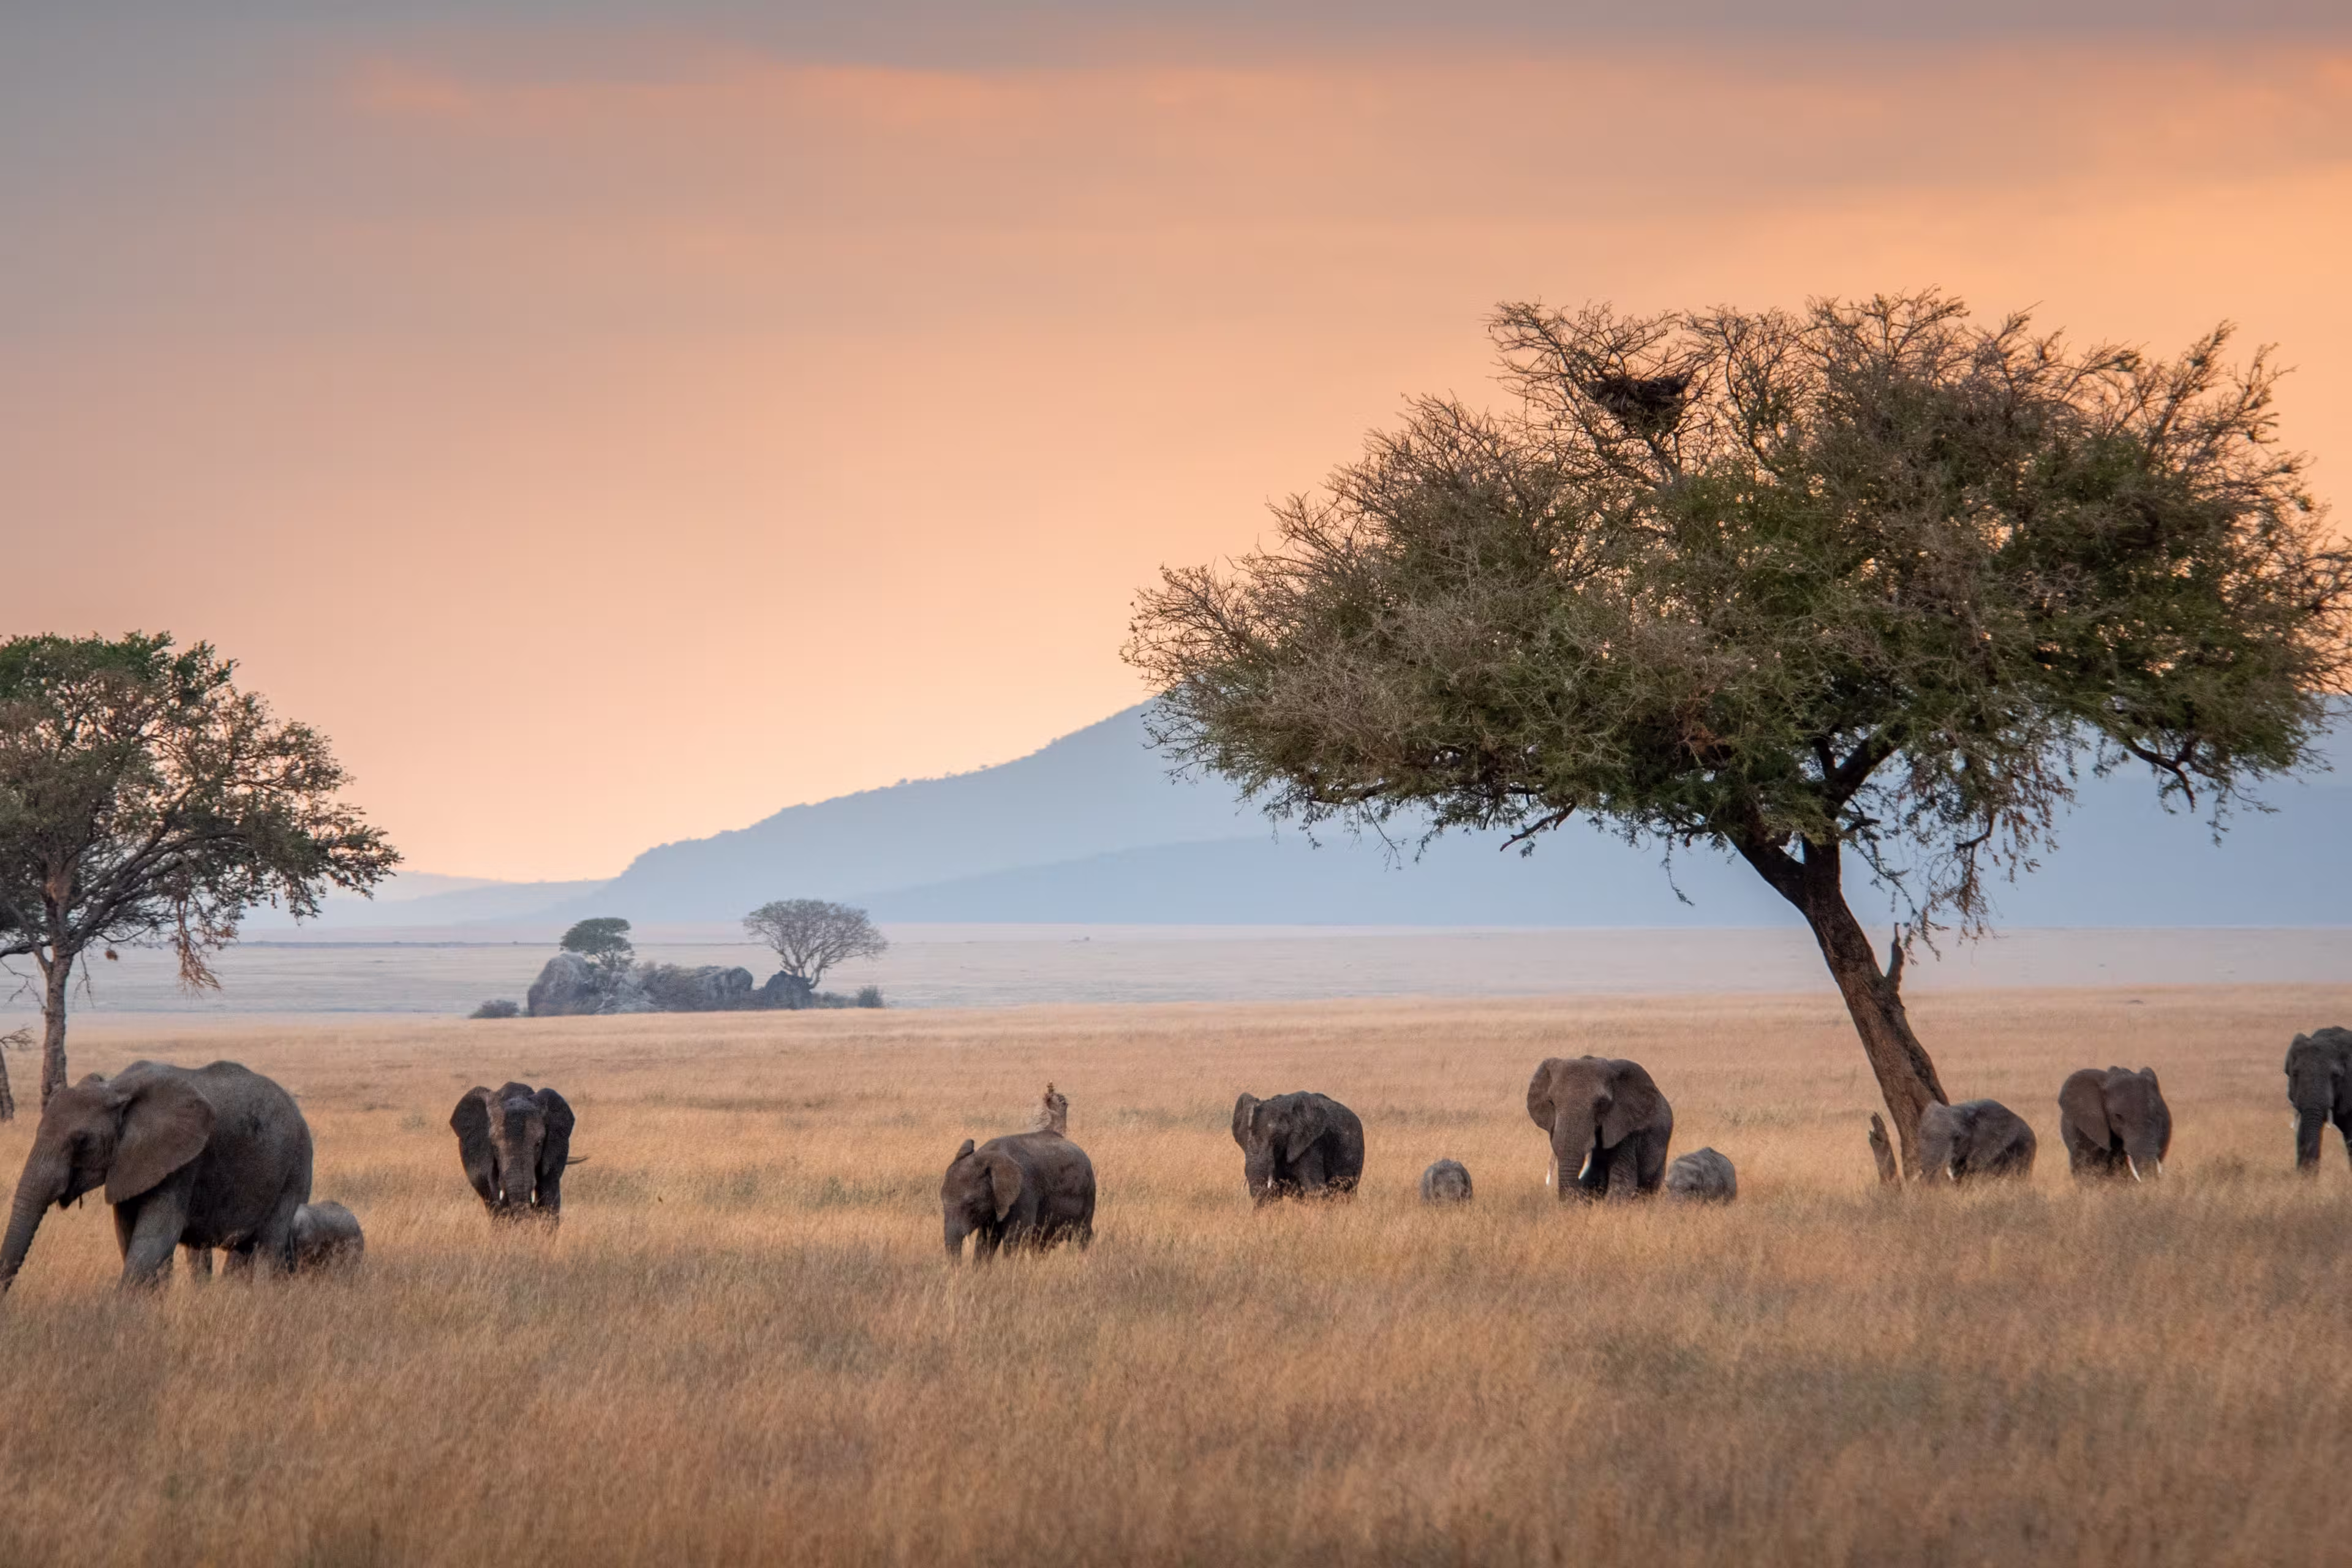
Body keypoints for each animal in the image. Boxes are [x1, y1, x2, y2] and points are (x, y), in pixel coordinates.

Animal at [0, 1060, 314, 1294]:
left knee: (268, 1245)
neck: (118, 1088)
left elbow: (156, 1236)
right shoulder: (130, 1163)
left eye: (82, 1142)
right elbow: (128, 1234)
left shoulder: (183, 1163)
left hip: (295, 1168)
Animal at [941, 1091, 1095, 1263]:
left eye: (971, 1203)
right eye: (942, 1203)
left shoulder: (1025, 1192)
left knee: (1080, 1236)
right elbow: (986, 1238)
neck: (990, 1157)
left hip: (1088, 1194)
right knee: (1040, 1244)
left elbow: (1016, 1238)